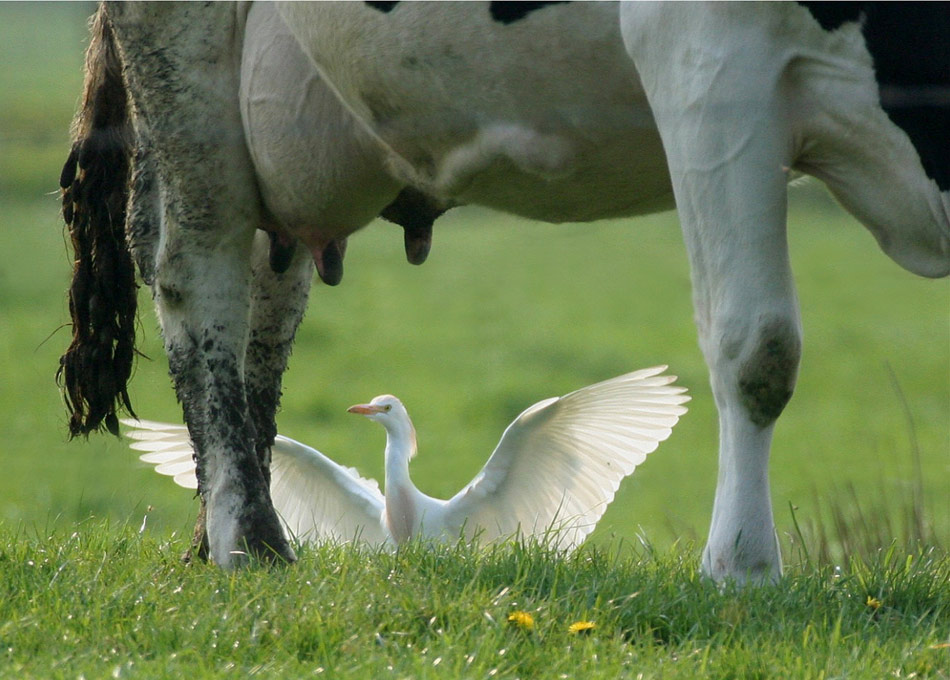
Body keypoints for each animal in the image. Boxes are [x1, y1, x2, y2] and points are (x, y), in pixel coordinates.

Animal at [63, 1, 948, 584]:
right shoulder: (706, 55)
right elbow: (756, 345)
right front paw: (742, 567)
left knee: (267, 303)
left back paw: (227, 536)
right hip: (189, 72)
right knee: (193, 269)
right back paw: (249, 543)